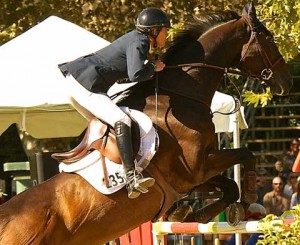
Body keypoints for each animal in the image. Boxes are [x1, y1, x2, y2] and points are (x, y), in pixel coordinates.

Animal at [0, 2, 292, 245]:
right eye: (269, 39)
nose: (286, 82)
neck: (181, 97)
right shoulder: (195, 168)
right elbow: (246, 154)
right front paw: (250, 198)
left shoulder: (190, 179)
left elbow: (229, 186)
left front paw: (187, 213)